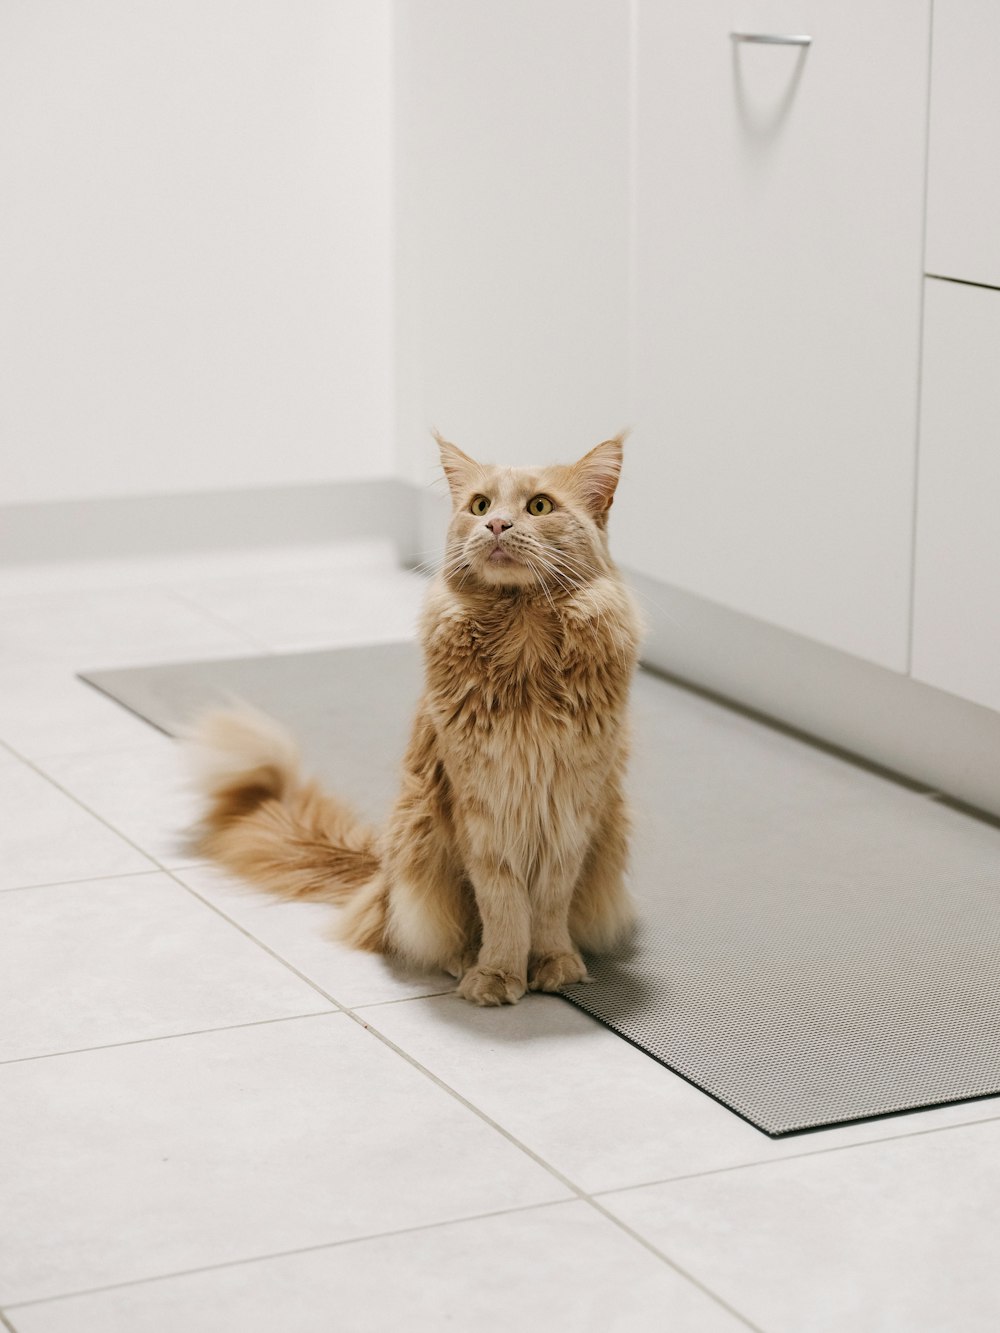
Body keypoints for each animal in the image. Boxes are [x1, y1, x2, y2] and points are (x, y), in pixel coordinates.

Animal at [186, 431, 642, 1002]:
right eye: (480, 506)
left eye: (539, 507)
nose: (497, 525)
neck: (525, 641)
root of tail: (377, 870)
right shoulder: (482, 807)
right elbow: (504, 905)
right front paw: (498, 974)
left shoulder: (571, 807)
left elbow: (550, 904)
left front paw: (553, 963)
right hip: (419, 837)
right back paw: (464, 959)